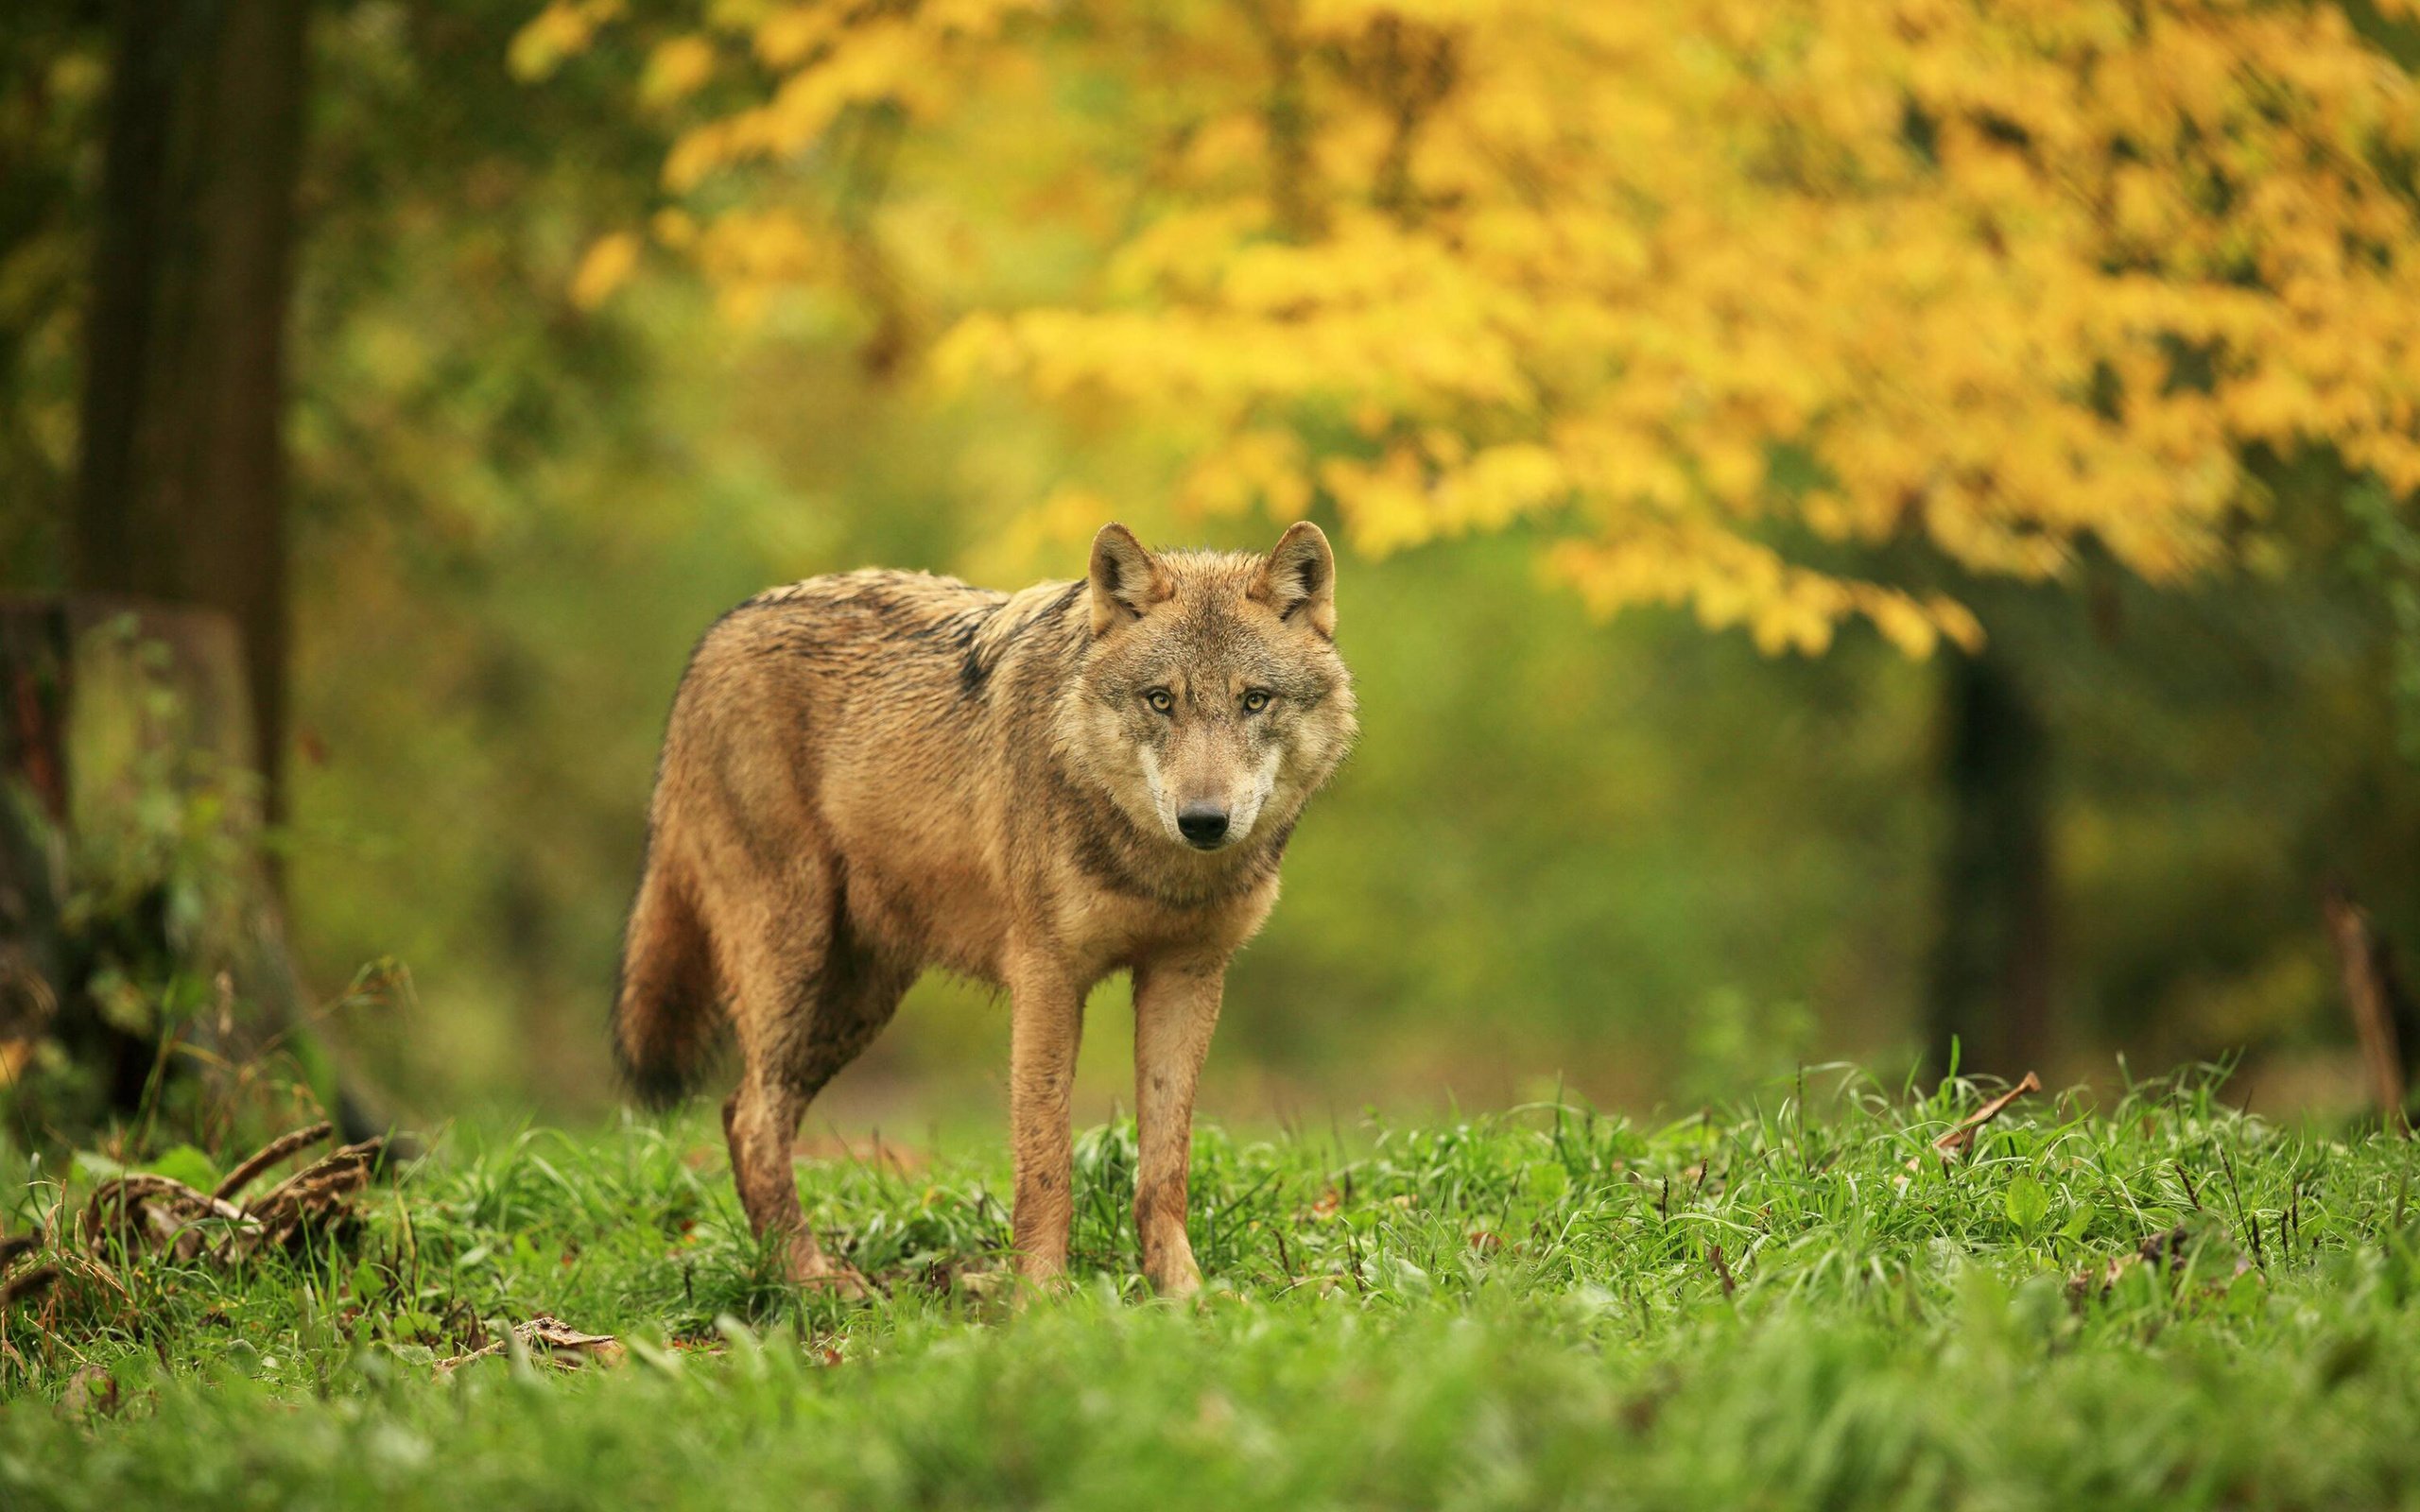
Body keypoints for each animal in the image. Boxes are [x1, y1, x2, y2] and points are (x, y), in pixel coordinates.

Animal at [614, 524, 1355, 1286]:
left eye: (1254, 701)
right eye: (1161, 701)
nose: (1203, 821)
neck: (1159, 870)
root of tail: (717, 635)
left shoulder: (1187, 976)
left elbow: (1164, 1168)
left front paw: (1184, 1293)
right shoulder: (1046, 978)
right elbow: (1046, 1162)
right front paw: (1043, 1296)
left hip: (854, 1002)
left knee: (743, 1109)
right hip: (795, 961)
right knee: (755, 1117)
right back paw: (814, 1281)